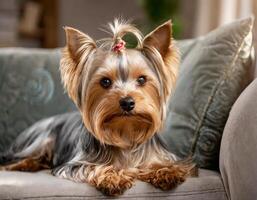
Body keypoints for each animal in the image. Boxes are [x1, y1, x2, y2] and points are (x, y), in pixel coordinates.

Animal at [0, 18, 192, 195]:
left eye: (142, 79)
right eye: (105, 82)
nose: (127, 102)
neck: (126, 133)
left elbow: (161, 164)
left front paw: (166, 172)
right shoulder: (74, 165)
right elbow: (93, 167)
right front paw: (112, 177)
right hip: (41, 139)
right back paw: (22, 165)